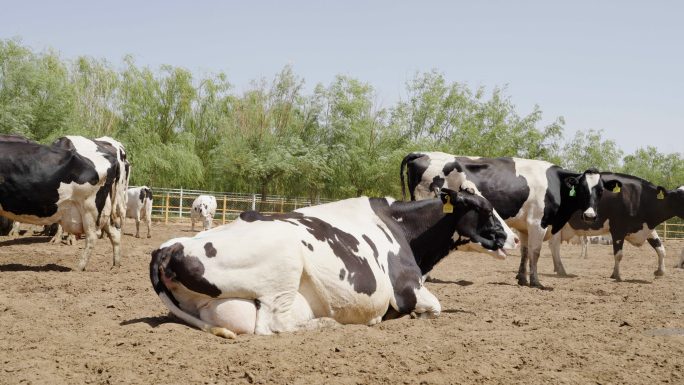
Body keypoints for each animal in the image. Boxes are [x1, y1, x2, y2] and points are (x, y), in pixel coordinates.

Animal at [0, 141, 121, 270]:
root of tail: (110, 158)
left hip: (89, 207)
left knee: (92, 236)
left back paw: (79, 267)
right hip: (103, 210)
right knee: (114, 233)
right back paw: (115, 265)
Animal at [151, 187, 520, 336]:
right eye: (486, 209)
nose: (516, 239)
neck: (398, 224)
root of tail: (169, 248)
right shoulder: (407, 289)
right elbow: (434, 308)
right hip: (283, 271)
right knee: (274, 326)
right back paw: (327, 324)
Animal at [398, 152, 624, 286]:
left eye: (600, 190)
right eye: (582, 189)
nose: (590, 215)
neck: (555, 184)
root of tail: (424, 153)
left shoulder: (524, 227)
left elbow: (524, 252)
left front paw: (522, 278)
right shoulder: (537, 224)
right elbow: (535, 253)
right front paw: (536, 282)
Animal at [548, 176, 684, 280]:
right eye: (682, 196)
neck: (640, 199)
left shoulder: (647, 229)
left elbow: (661, 249)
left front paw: (660, 271)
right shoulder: (618, 230)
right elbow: (618, 254)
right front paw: (616, 275)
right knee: (555, 247)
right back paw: (561, 270)